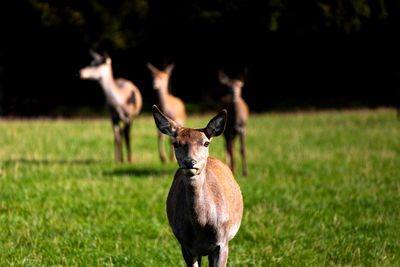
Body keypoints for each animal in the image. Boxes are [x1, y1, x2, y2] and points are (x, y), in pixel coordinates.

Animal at [152, 104, 242, 267]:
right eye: (175, 143)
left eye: (206, 143)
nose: (189, 161)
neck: (201, 225)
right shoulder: (185, 245)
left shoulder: (223, 242)